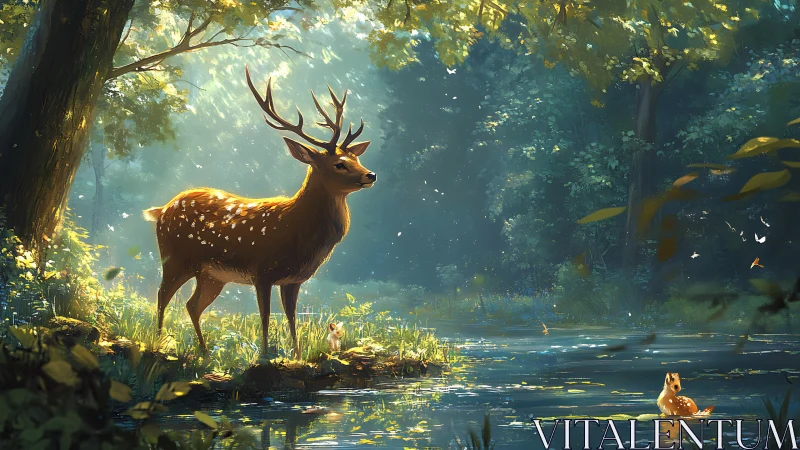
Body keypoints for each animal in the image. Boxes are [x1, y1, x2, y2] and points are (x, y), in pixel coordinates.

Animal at [142, 66, 375, 359]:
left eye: (356, 158)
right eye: (339, 164)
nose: (371, 175)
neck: (298, 229)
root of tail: (161, 210)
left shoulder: (293, 280)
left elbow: (291, 318)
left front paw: (297, 356)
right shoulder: (262, 271)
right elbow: (265, 317)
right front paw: (265, 356)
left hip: (211, 275)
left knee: (192, 305)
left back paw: (204, 351)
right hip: (175, 258)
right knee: (162, 295)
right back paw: (158, 343)